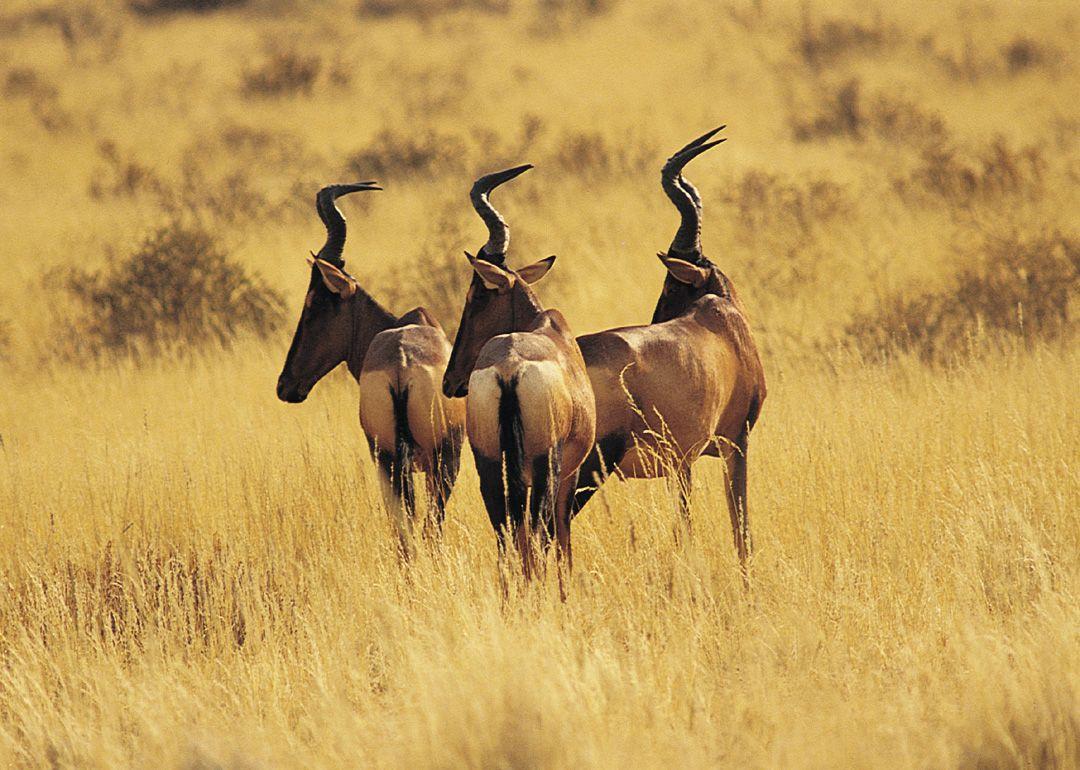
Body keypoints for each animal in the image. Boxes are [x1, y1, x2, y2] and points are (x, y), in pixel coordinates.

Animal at [274, 181, 464, 552]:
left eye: (314, 305)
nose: (285, 385)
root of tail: (402, 363)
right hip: (436, 461)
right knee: (426, 526)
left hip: (389, 459)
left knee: (406, 528)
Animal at [444, 165, 604, 578]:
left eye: (476, 296)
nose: (450, 381)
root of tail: (509, 367)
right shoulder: (568, 473)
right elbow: (561, 541)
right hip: (545, 466)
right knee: (535, 535)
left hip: (487, 462)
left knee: (506, 536)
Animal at [570, 126, 764, 565]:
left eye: (671, 284)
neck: (722, 321)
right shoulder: (736, 443)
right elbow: (739, 529)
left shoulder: (682, 462)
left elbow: (687, 522)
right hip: (588, 467)